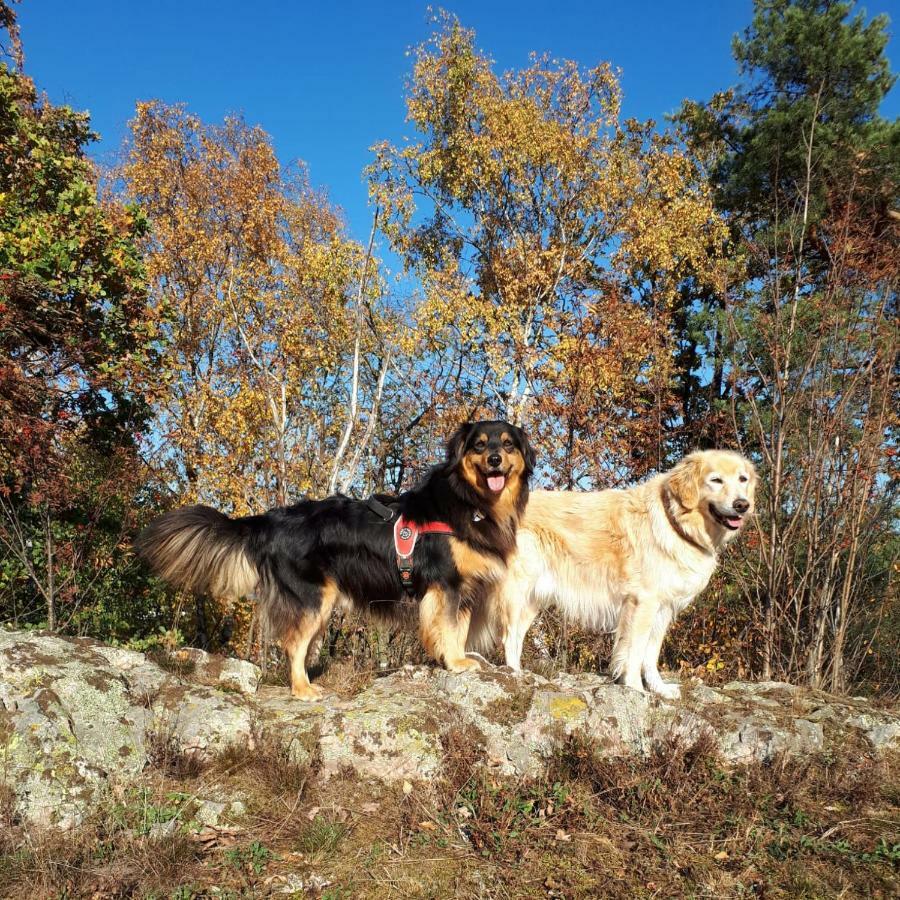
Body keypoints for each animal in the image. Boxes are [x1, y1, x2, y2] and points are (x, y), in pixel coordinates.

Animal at [136, 418, 532, 700]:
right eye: (479, 445)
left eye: (507, 444)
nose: (495, 459)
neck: (471, 502)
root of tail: (269, 521)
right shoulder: (444, 584)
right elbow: (447, 628)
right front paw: (455, 662)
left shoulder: (463, 590)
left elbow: (460, 629)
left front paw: (462, 658)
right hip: (312, 599)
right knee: (293, 645)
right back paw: (302, 691)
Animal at [488, 450, 756, 696]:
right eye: (716, 480)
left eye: (742, 479)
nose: (743, 505)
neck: (674, 521)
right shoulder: (643, 603)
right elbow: (635, 651)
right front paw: (635, 688)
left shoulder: (663, 609)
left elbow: (651, 654)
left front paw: (659, 689)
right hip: (517, 591)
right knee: (509, 637)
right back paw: (515, 677)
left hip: (532, 598)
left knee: (516, 637)